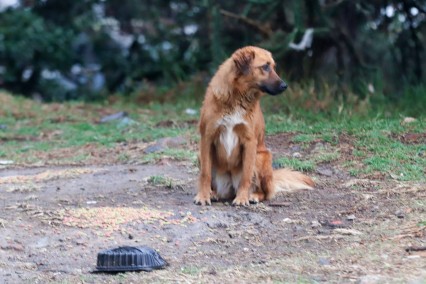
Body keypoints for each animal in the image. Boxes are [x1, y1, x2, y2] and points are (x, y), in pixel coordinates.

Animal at [195, 47, 314, 206]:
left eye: (274, 67)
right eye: (265, 67)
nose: (285, 86)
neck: (237, 97)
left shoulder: (249, 141)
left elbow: (246, 176)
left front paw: (242, 198)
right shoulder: (207, 138)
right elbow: (205, 174)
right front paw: (203, 196)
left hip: (261, 157)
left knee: (265, 192)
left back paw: (253, 196)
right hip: (200, 156)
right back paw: (213, 193)